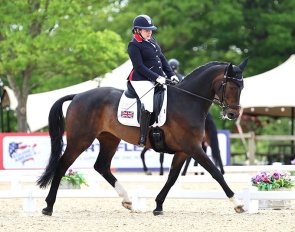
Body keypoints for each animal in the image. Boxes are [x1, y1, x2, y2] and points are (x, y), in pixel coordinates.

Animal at [37, 57, 250, 216]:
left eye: (242, 87)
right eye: (232, 87)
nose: (233, 114)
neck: (187, 101)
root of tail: (78, 96)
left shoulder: (183, 150)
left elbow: (172, 177)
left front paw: (158, 206)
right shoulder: (192, 147)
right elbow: (215, 173)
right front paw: (238, 203)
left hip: (109, 139)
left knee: (101, 166)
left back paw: (128, 200)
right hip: (80, 139)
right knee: (62, 165)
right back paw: (48, 206)